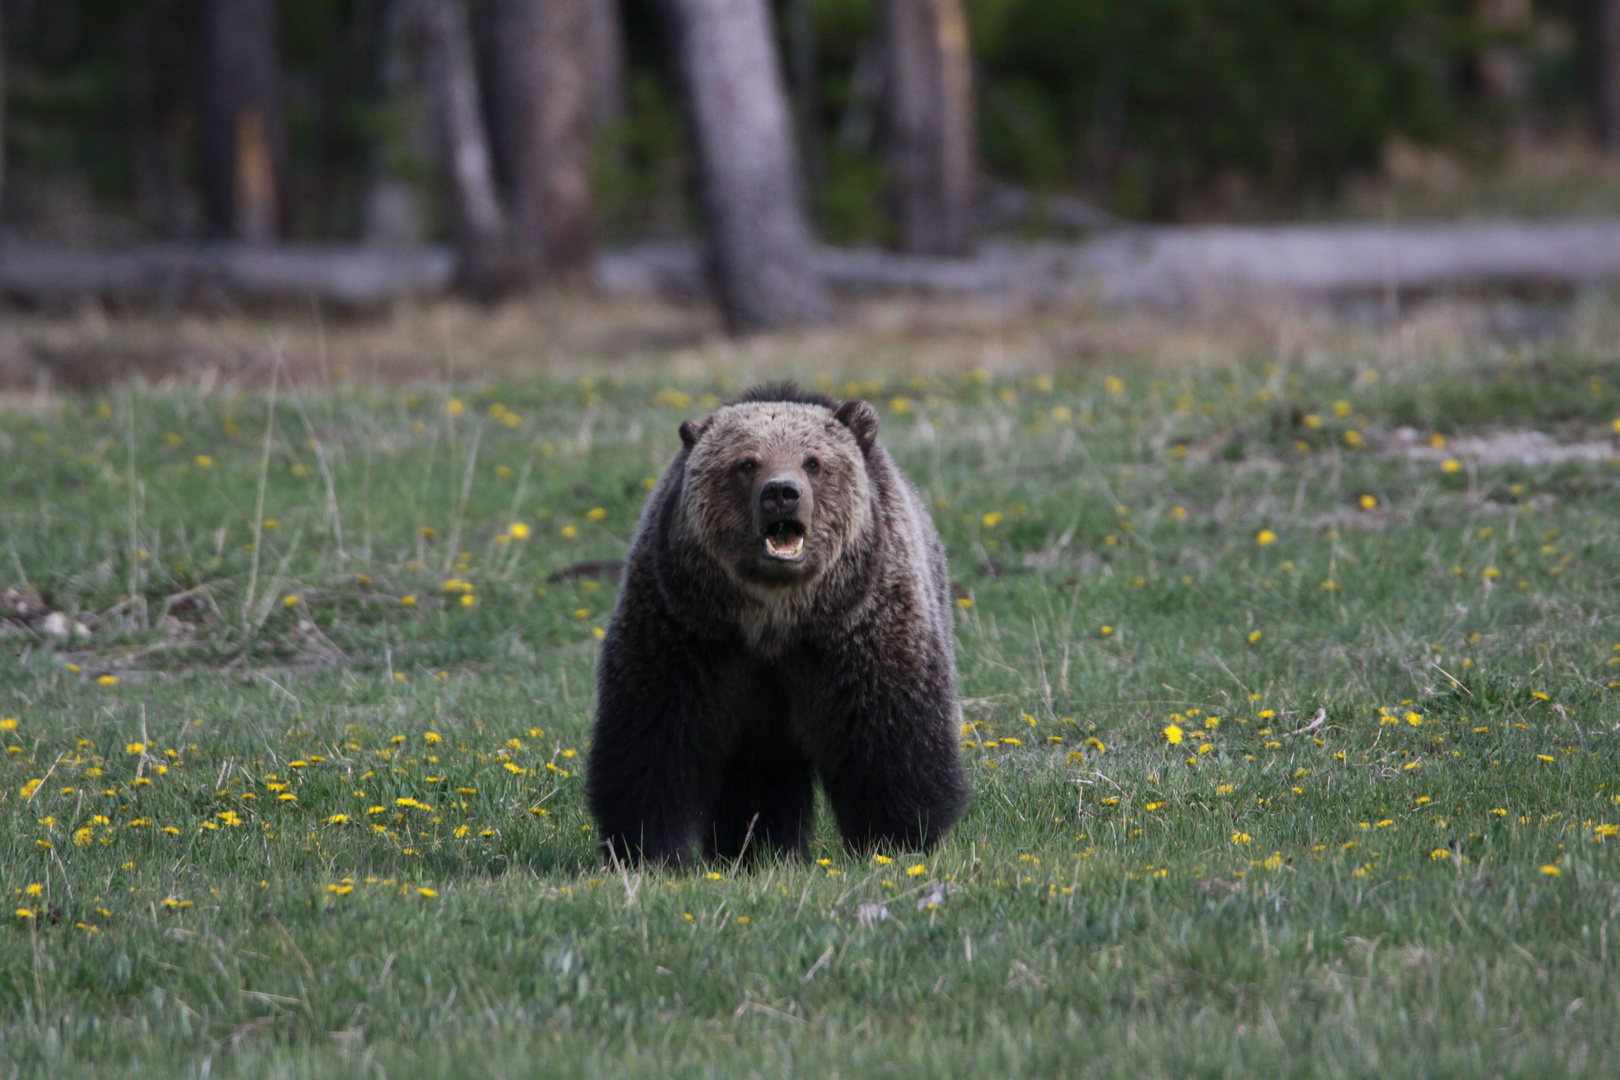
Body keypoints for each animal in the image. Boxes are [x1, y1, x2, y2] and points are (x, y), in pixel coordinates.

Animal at [589, 383, 965, 867]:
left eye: (813, 461)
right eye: (747, 462)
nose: (783, 492)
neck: (775, 620)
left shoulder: (858, 629)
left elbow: (890, 736)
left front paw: (897, 836)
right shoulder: (687, 630)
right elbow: (652, 737)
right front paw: (645, 847)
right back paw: (754, 847)